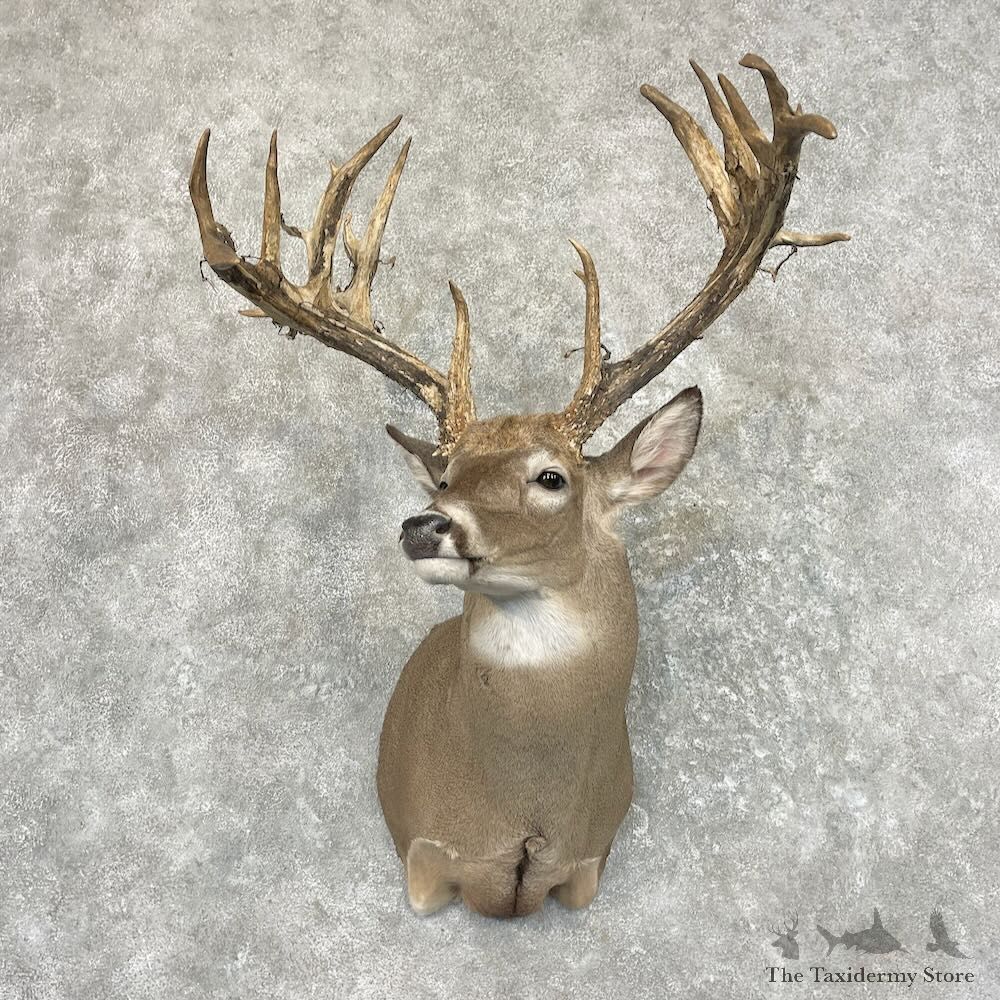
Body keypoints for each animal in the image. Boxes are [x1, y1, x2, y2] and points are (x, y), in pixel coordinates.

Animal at [189, 54, 848, 919]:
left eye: (551, 476)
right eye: (443, 472)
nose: (425, 524)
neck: (523, 813)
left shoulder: (589, 860)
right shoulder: (426, 857)